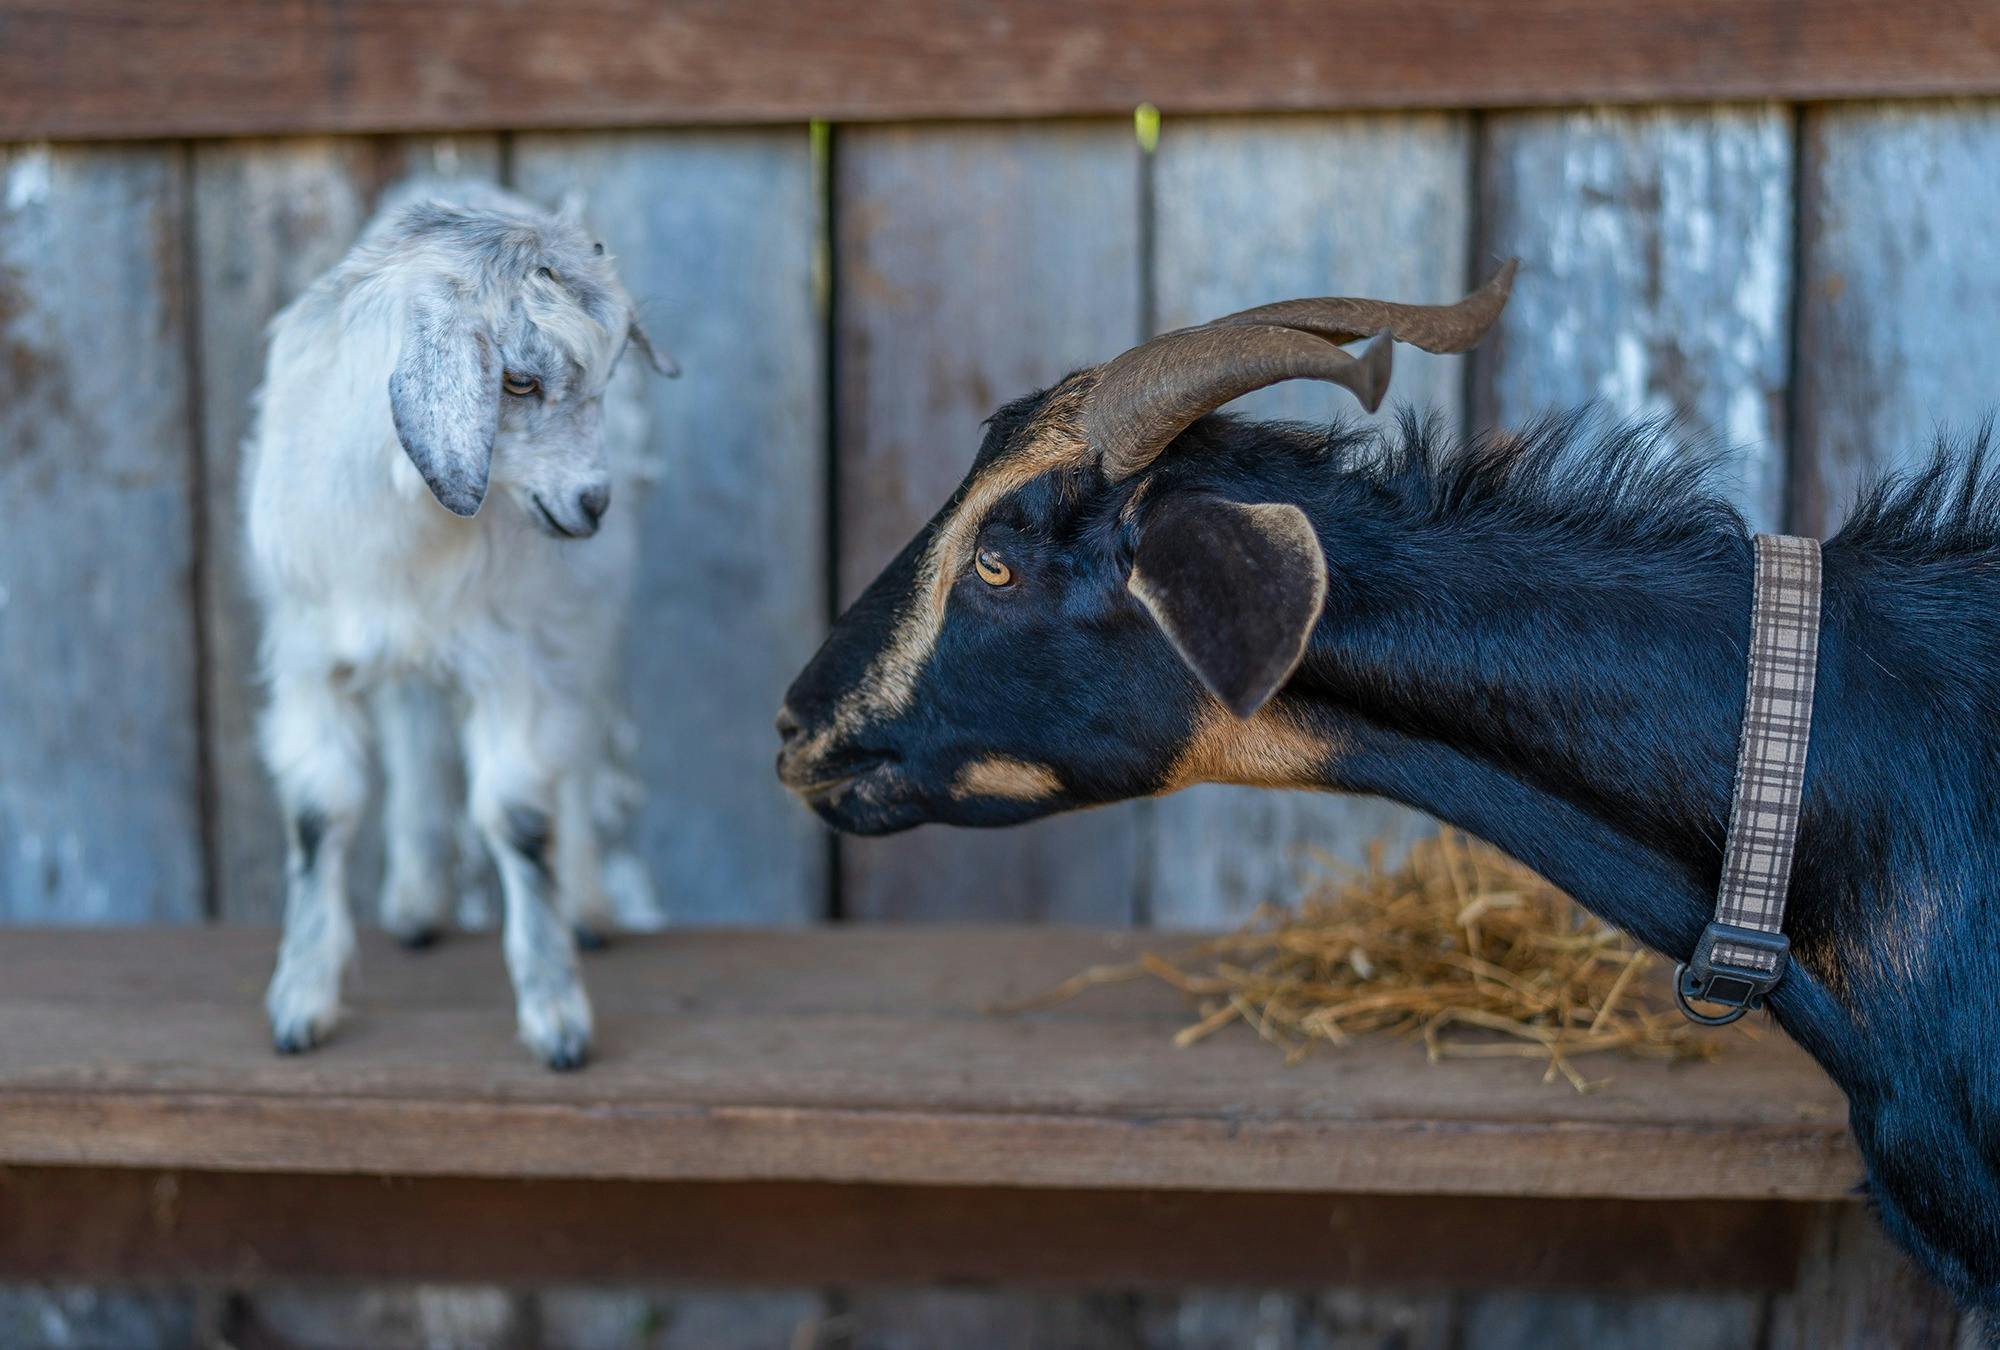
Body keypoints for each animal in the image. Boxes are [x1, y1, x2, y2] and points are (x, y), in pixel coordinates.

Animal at [245, 183, 671, 1069]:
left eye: (612, 372)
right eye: (518, 380)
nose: (592, 505)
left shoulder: (512, 660)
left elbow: (518, 816)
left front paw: (556, 1016)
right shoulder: (307, 658)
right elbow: (319, 812)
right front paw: (300, 1001)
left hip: (585, 627)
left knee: (579, 749)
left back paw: (587, 904)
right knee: (413, 730)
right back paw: (414, 903)